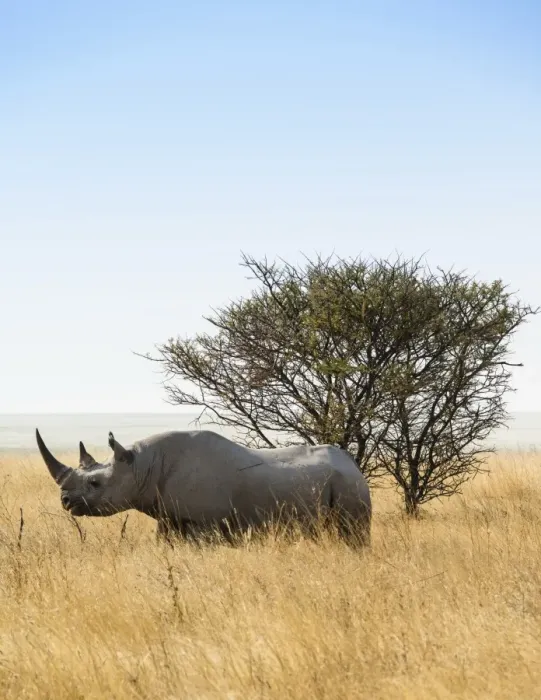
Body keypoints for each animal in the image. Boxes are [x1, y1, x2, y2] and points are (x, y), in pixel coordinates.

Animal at [35, 427, 371, 545]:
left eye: (95, 483)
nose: (66, 501)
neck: (140, 467)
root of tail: (353, 463)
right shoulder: (169, 517)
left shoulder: (203, 523)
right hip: (342, 480)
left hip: (348, 484)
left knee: (352, 531)